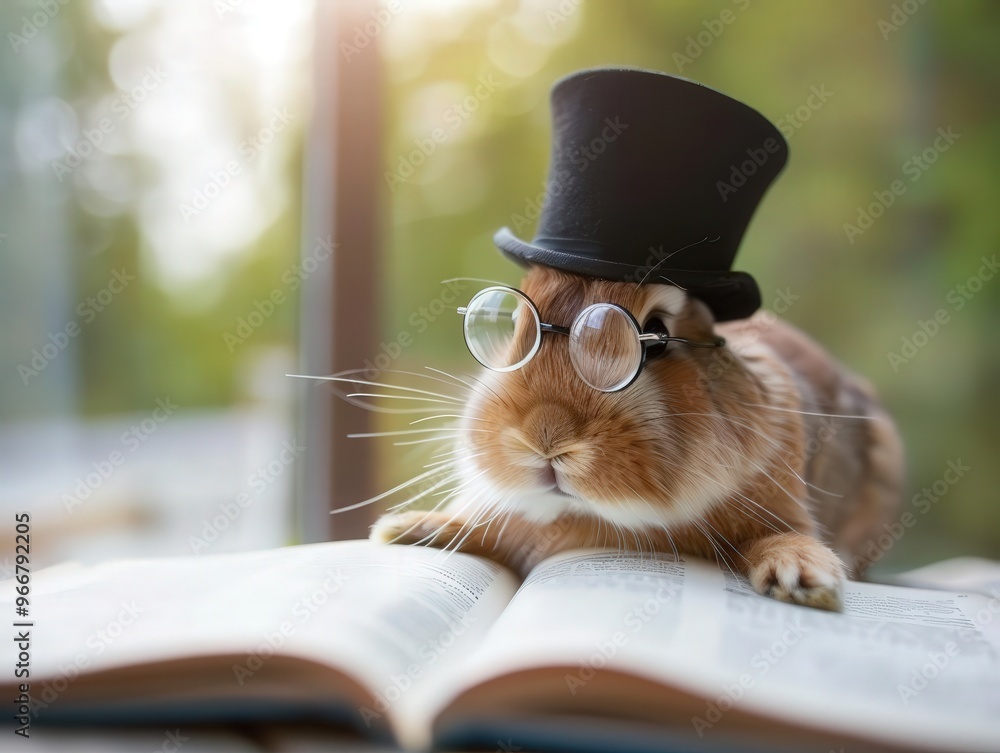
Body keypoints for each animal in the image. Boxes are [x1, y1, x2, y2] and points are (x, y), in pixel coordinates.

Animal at [370, 265, 904, 611]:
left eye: (657, 336)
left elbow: (782, 536)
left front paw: (804, 577)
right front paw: (408, 530)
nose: (546, 436)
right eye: (517, 326)